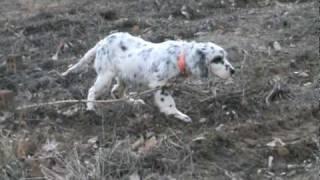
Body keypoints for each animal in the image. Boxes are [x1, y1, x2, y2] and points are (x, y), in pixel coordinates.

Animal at [62, 32, 235, 122]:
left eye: (225, 57)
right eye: (217, 59)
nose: (233, 71)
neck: (180, 56)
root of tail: (102, 42)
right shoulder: (160, 85)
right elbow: (169, 103)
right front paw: (178, 115)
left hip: (124, 76)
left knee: (117, 91)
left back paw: (134, 102)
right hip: (105, 76)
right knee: (92, 90)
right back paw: (91, 109)